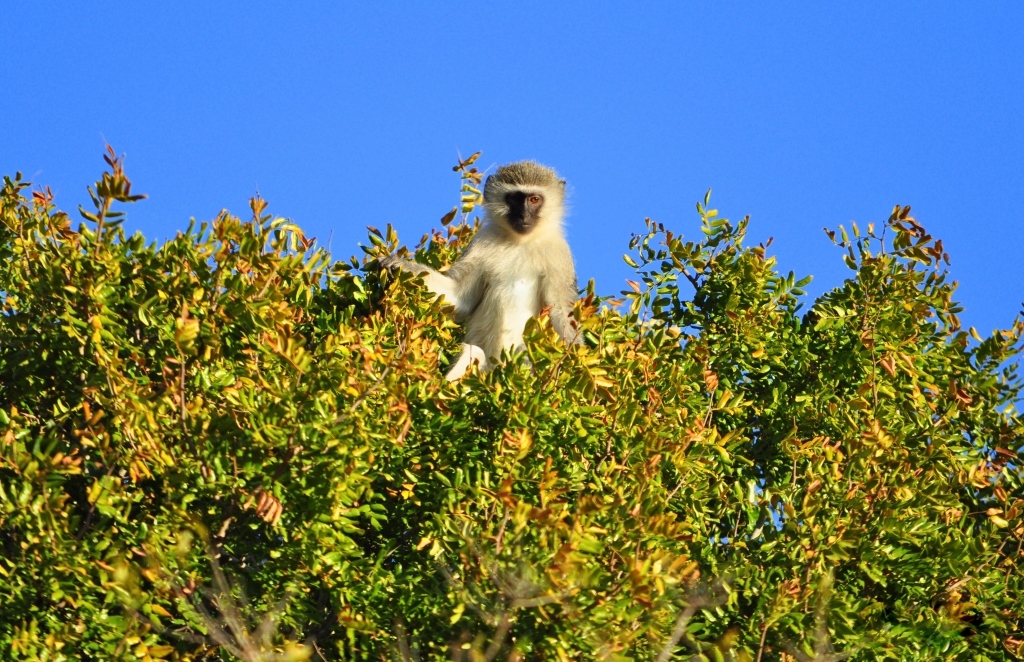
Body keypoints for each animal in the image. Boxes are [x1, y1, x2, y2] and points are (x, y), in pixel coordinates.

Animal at [380, 160, 581, 381]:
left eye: (534, 199)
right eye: (514, 198)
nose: (523, 215)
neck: (520, 242)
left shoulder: (559, 254)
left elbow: (561, 313)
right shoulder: (480, 243)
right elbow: (460, 297)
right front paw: (398, 264)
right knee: (474, 351)